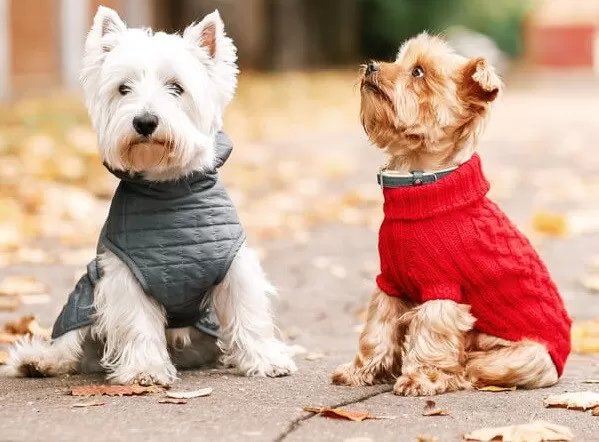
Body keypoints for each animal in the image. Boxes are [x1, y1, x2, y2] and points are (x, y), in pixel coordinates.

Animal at [1, 6, 296, 386]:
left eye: (176, 87)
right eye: (123, 89)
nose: (144, 121)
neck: (169, 191)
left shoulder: (234, 265)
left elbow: (247, 313)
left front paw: (265, 359)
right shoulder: (125, 274)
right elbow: (137, 322)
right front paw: (145, 369)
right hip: (85, 296)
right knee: (68, 343)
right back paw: (38, 361)